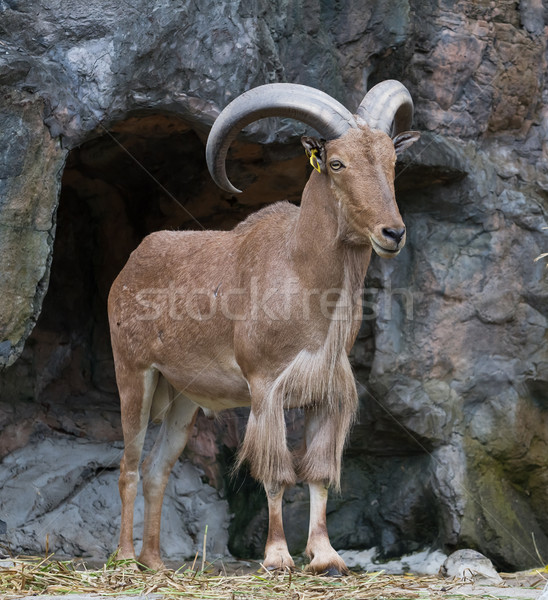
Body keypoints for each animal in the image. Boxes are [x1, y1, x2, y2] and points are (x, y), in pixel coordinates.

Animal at [108, 82, 420, 576]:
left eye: (391, 161)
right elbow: (276, 473)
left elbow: (316, 473)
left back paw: (155, 562)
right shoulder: (265, 387)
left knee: (158, 469)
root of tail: (129, 268)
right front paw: (277, 557)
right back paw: (124, 559)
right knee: (130, 465)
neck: (302, 274)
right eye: (337, 163)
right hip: (134, 376)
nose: (392, 233)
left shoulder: (325, 394)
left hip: (182, 397)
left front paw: (326, 557)